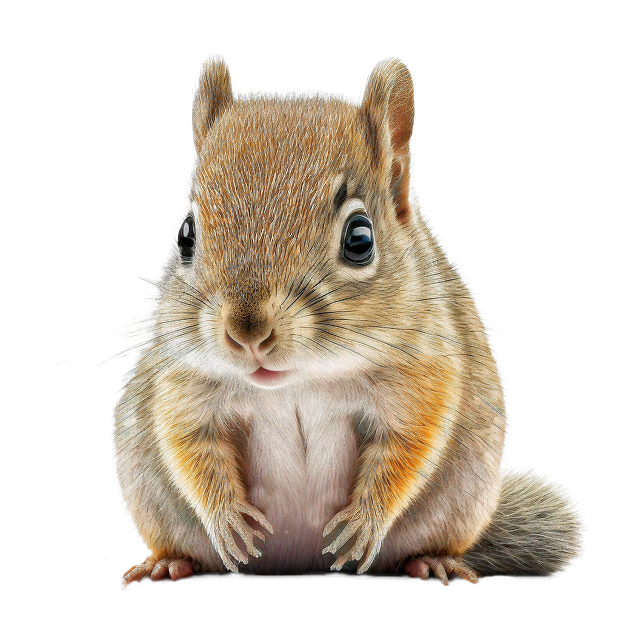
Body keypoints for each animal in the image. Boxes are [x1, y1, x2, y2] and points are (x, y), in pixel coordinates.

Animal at [104, 51, 586, 591]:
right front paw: (227, 518)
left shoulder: (425, 370)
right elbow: (189, 442)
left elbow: (407, 445)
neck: (299, 383)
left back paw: (432, 561)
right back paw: (168, 563)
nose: (246, 332)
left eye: (360, 239)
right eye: (184, 235)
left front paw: (364, 520)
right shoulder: (184, 376)